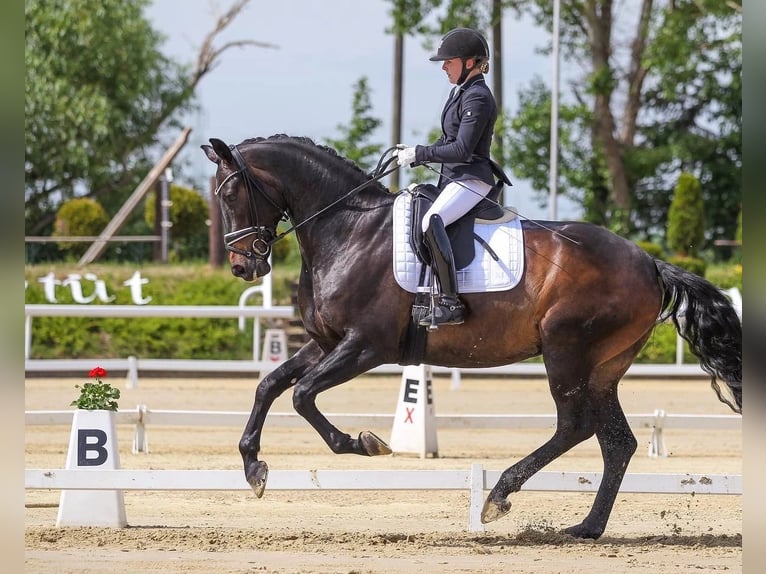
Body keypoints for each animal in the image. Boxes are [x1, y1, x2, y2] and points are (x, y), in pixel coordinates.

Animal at [201, 134, 740, 540]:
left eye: (229, 195)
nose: (243, 267)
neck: (348, 229)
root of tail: (648, 261)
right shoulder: (326, 342)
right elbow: (269, 386)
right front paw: (253, 469)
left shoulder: (365, 346)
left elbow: (303, 395)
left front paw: (364, 442)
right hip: (604, 366)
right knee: (617, 442)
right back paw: (586, 527)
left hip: (566, 351)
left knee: (575, 426)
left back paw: (499, 496)